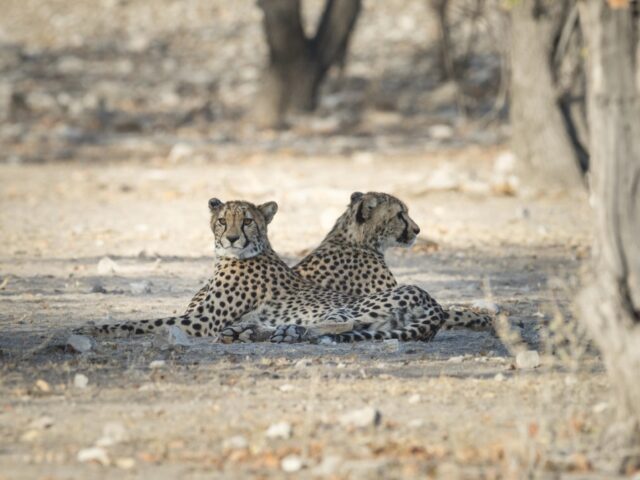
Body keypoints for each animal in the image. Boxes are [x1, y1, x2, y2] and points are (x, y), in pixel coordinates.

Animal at [82, 198, 450, 342]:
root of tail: (434, 304)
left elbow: (141, 322)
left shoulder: (199, 321)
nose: (231, 238)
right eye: (222, 220)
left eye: (247, 221)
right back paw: (252, 331)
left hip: (355, 305)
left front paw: (94, 328)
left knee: (345, 323)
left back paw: (284, 332)